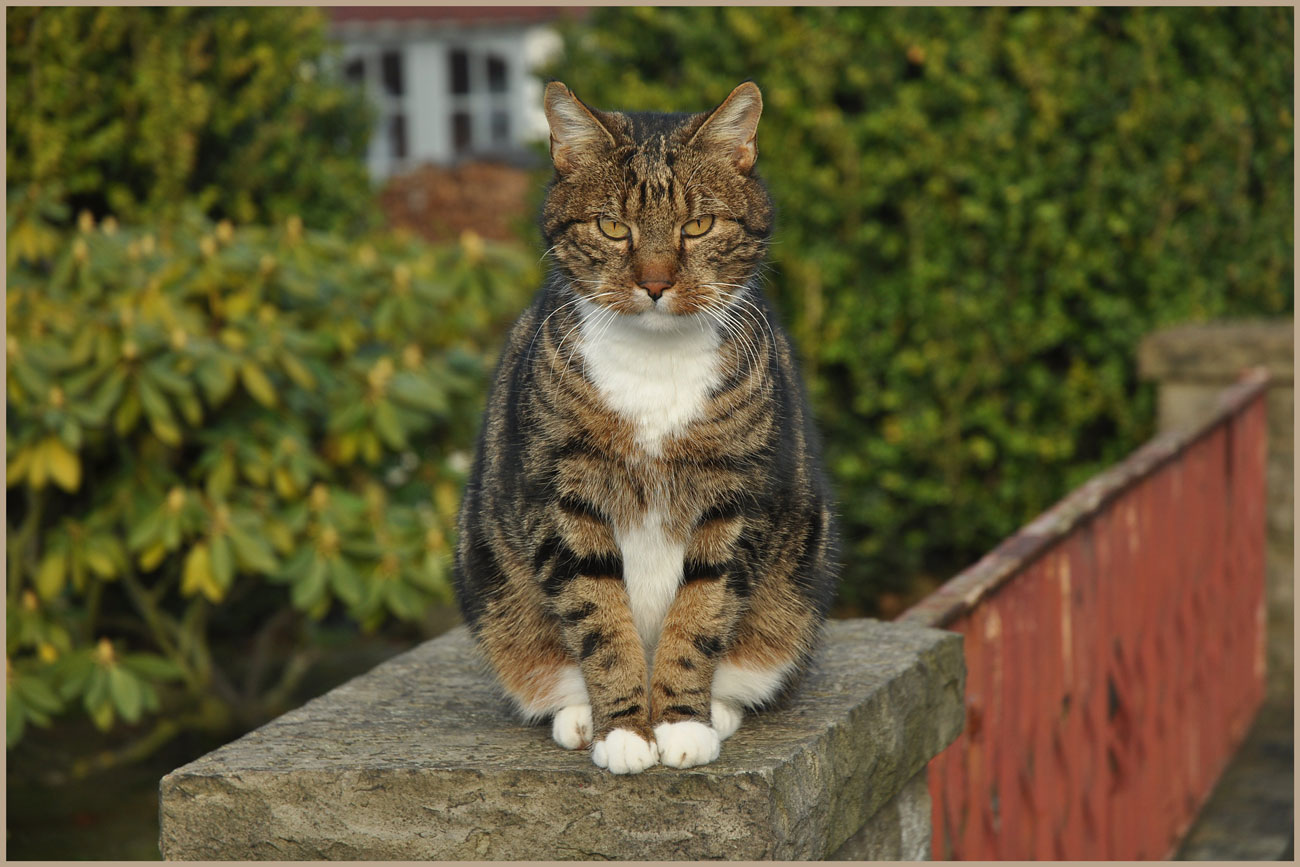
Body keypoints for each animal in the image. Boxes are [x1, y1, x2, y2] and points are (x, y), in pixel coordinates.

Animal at [452, 79, 837, 774]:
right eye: (612, 226)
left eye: (698, 225)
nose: (656, 283)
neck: (656, 368)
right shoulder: (562, 502)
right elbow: (600, 618)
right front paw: (626, 732)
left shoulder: (736, 500)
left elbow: (701, 611)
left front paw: (681, 723)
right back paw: (579, 716)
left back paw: (718, 709)